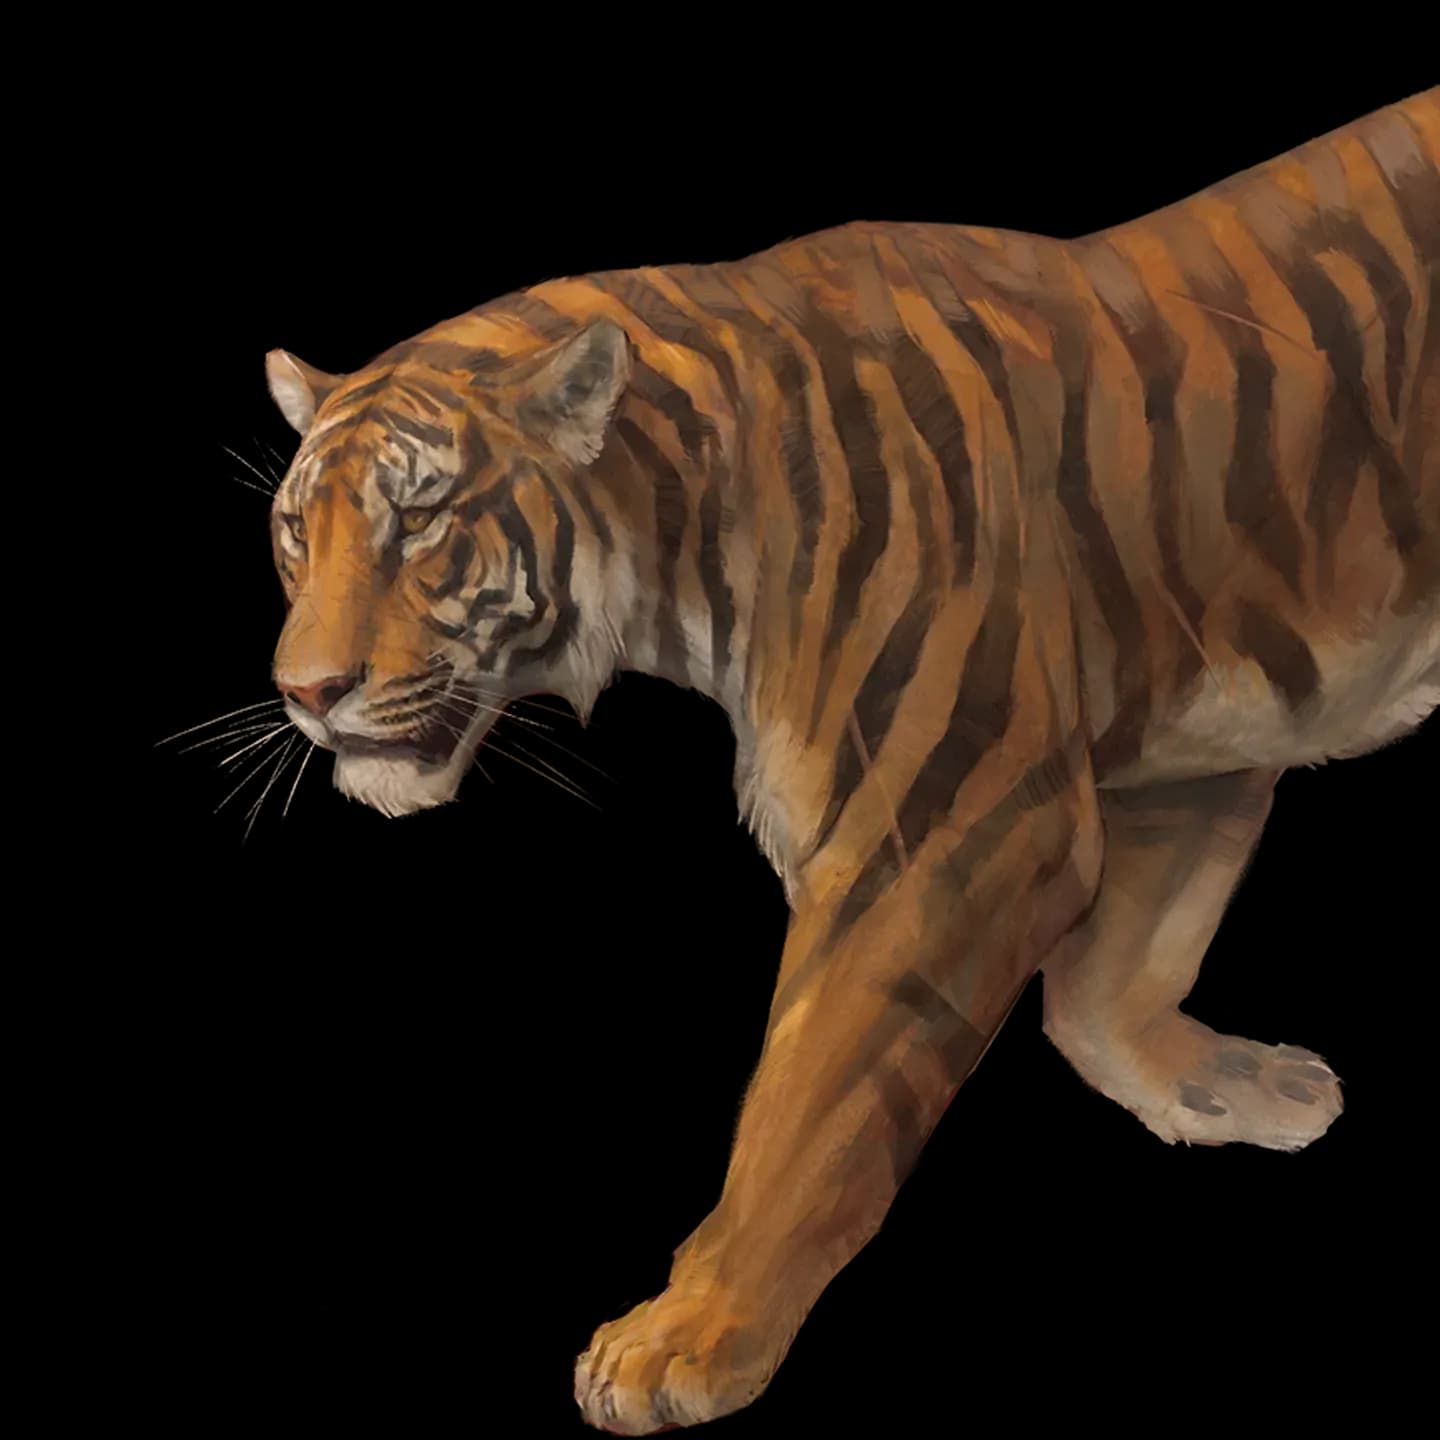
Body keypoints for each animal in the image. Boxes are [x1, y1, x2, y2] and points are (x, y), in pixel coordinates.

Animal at [260, 88, 1438, 1434]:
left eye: (420, 522)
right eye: (294, 531)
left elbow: (805, 1102)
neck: (681, 520)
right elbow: (1111, 983)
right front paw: (1235, 1086)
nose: (306, 691)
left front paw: (679, 1343)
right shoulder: (1192, 732)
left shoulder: (942, 832)